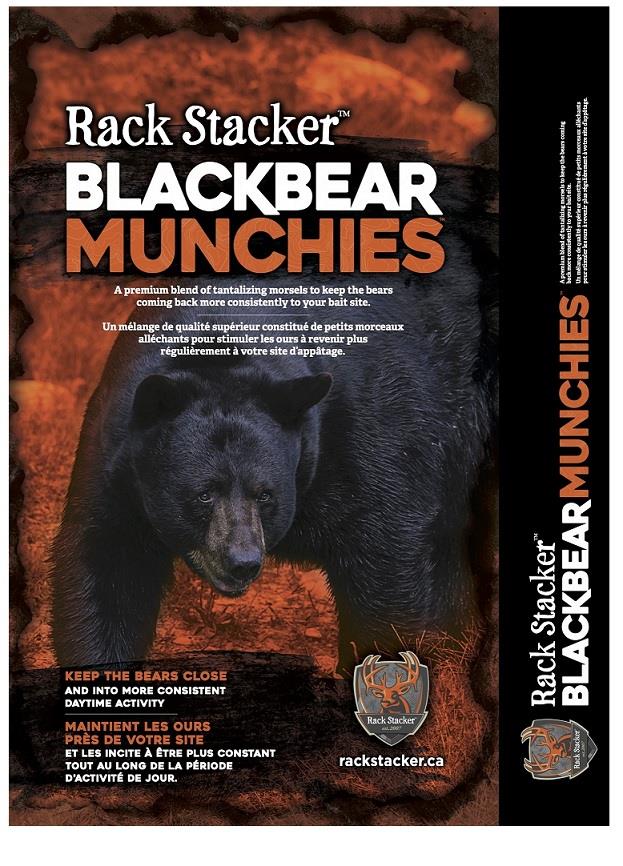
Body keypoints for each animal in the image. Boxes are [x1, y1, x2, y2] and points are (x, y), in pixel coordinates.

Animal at [52, 247, 497, 674]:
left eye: (265, 494)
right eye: (203, 494)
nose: (242, 562)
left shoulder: (374, 424)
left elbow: (385, 556)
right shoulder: (118, 455)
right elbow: (107, 565)